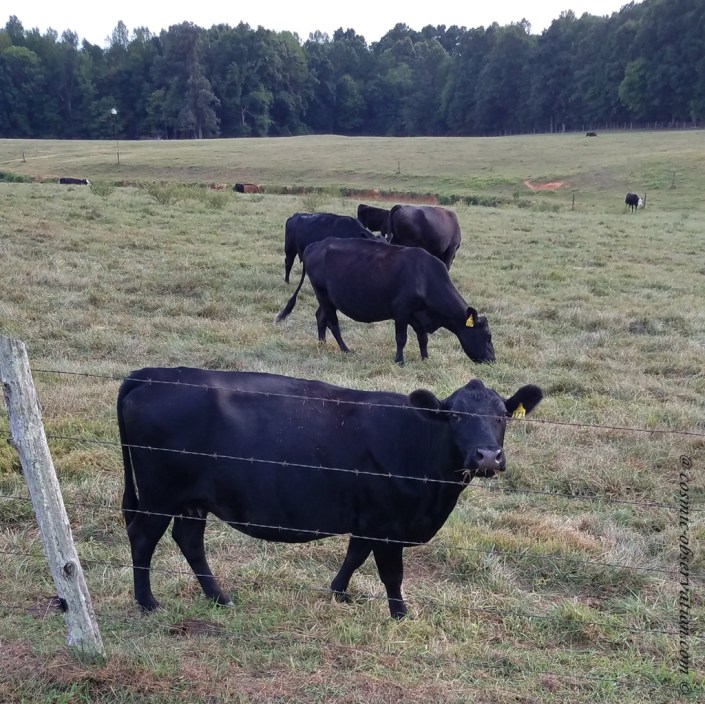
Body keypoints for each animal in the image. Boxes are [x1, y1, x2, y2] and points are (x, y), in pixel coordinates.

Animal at [118, 366, 543, 618]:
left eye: (502, 416)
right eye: (454, 416)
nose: (487, 456)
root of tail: (153, 373)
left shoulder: (367, 518)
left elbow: (354, 554)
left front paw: (339, 592)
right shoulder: (387, 524)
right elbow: (391, 573)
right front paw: (400, 614)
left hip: (193, 499)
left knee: (189, 539)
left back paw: (219, 597)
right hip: (159, 495)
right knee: (143, 537)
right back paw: (148, 602)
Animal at [276, 237, 495, 365]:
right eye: (488, 336)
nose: (492, 359)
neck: (425, 277)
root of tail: (314, 245)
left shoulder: (418, 315)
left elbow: (423, 338)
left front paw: (425, 359)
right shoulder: (402, 311)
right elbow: (401, 338)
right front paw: (399, 361)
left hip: (327, 298)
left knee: (320, 316)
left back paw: (322, 343)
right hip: (323, 294)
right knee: (332, 322)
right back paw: (345, 350)